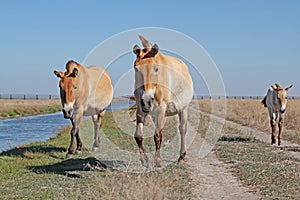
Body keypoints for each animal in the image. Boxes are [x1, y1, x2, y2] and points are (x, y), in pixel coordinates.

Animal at [132, 35, 193, 166]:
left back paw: (182, 156)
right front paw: (145, 160)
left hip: (183, 109)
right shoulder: (141, 108)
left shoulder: (161, 108)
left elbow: (158, 136)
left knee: (182, 129)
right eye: (136, 69)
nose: (147, 100)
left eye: (156, 69)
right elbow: (138, 136)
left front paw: (158, 162)